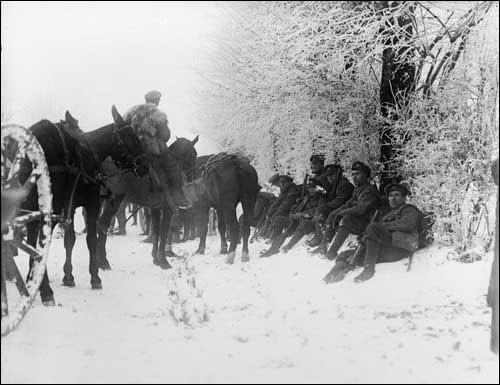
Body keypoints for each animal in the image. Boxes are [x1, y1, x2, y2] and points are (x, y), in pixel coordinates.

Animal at [21, 106, 146, 304]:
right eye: (129, 137)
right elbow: (90, 239)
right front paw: (94, 277)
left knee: (33, 238)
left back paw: (34, 280)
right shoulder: (91, 203)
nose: (144, 166)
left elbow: (70, 240)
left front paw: (68, 276)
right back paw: (45, 290)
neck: (91, 153)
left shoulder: (70, 206)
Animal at [95, 135, 199, 270]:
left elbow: (156, 231)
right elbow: (163, 232)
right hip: (114, 202)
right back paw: (103, 261)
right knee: (102, 225)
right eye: (194, 154)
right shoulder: (167, 210)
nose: (193, 177)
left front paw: (156, 258)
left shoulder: (155, 208)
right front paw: (163, 260)